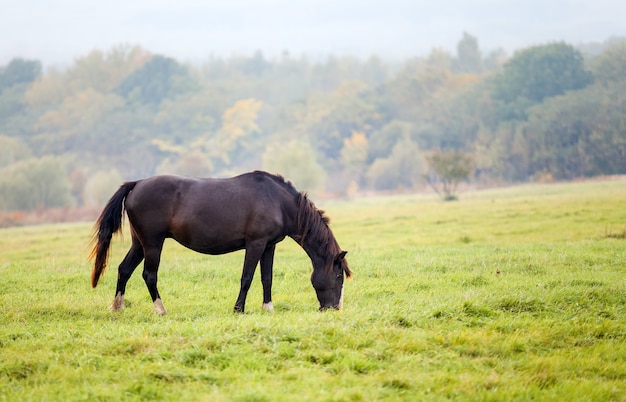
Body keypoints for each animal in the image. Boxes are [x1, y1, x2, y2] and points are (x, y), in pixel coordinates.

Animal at [89, 170, 352, 314]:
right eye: (339, 276)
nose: (335, 308)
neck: (277, 201)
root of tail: (137, 183)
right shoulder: (256, 244)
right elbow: (247, 278)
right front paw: (239, 309)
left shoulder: (269, 245)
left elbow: (266, 278)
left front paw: (268, 308)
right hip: (153, 243)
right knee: (149, 275)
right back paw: (160, 309)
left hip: (139, 243)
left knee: (124, 269)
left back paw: (117, 306)